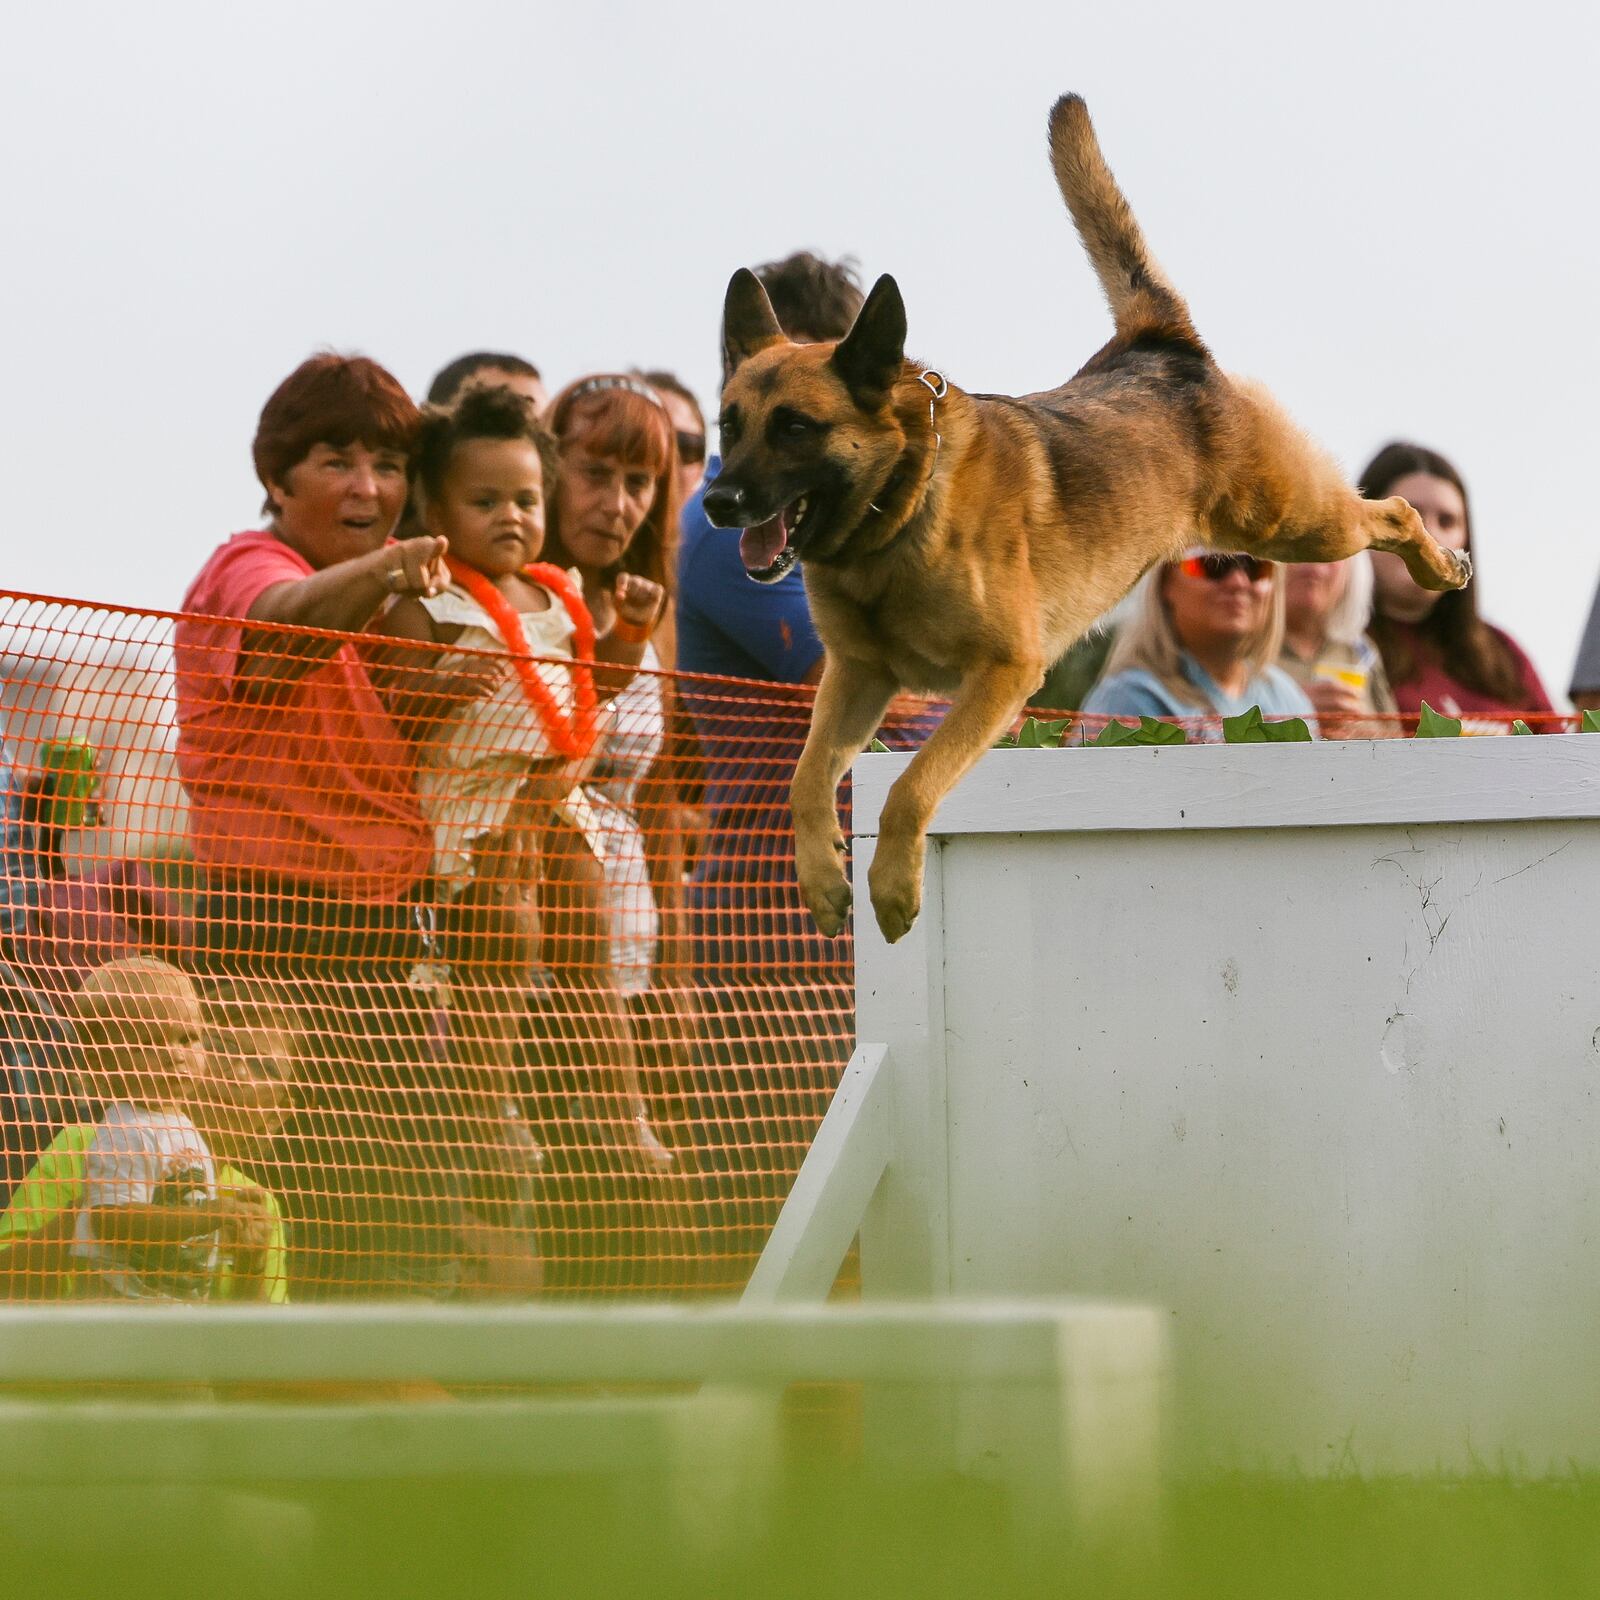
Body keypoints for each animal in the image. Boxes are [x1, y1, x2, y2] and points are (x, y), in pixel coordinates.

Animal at [707, 93, 1465, 940]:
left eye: (795, 428)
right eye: (729, 426)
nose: (716, 502)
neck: (898, 511)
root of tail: (1161, 346)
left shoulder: (1003, 675)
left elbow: (909, 788)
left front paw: (894, 890)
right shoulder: (858, 679)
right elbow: (806, 781)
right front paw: (823, 882)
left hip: (1293, 524)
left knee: (1392, 510)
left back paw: (1440, 565)